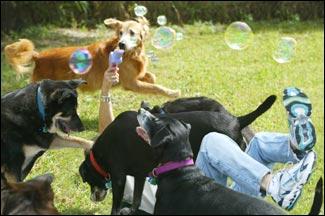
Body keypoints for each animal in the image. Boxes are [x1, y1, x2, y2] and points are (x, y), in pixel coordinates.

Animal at [4, 16, 180, 97]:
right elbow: (156, 87)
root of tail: (38, 56)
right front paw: (172, 93)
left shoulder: (136, 76)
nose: (121, 45)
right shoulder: (131, 83)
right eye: (120, 33)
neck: (131, 54)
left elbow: (152, 77)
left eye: (132, 33)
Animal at [79, 95, 274, 214]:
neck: (102, 151)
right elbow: (136, 199)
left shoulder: (119, 177)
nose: (93, 198)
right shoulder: (140, 176)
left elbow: (116, 204)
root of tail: (237, 120)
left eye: (87, 180)